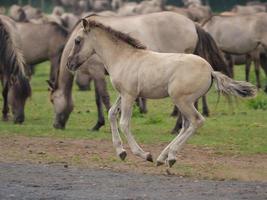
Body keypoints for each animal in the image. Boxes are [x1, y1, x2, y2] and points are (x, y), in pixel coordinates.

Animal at [66, 19, 256, 167]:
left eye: (77, 40)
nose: (69, 64)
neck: (124, 57)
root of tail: (211, 71)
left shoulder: (129, 95)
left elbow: (124, 123)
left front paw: (143, 155)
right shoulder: (125, 94)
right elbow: (112, 113)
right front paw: (121, 152)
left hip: (181, 100)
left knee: (196, 121)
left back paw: (169, 157)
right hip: (183, 102)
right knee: (186, 125)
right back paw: (163, 157)